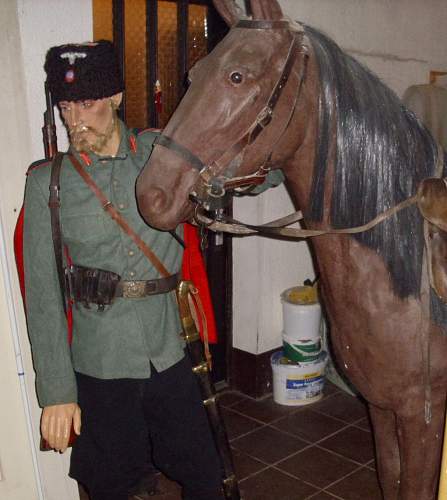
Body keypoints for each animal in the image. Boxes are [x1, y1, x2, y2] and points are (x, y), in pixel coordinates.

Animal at [136, 1, 447, 498]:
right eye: (193, 74)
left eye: (237, 76)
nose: (152, 194)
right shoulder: (383, 408)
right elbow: (390, 477)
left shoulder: (424, 416)